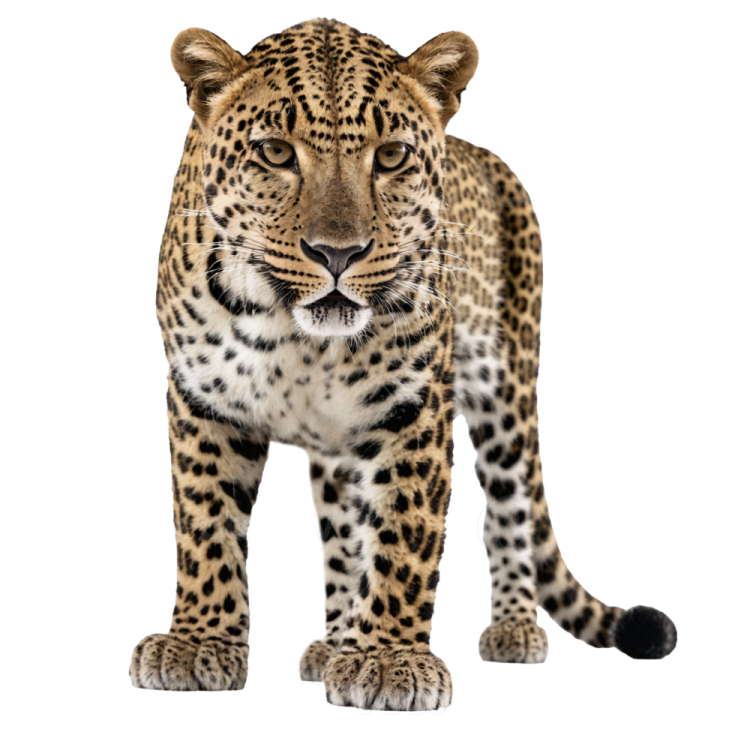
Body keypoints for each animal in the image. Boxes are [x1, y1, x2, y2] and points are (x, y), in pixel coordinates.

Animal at [129, 18, 678, 710]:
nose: (338, 253)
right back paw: (335, 643)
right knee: (344, 530)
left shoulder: (412, 405)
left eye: (390, 157)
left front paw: (392, 659)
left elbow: (404, 531)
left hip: (507, 394)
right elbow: (206, 527)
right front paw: (198, 641)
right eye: (276, 153)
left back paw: (512, 628)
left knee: (506, 516)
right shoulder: (204, 399)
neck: (298, 336)